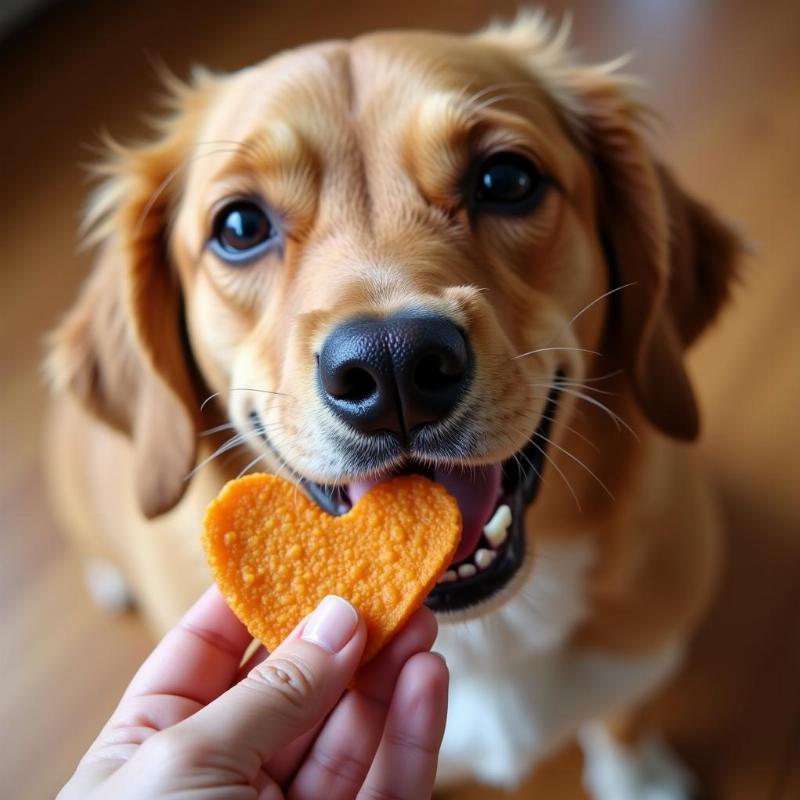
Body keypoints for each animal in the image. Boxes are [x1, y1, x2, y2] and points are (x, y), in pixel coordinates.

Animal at [47, 12, 740, 800]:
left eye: (506, 179)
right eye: (240, 227)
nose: (392, 365)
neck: (484, 639)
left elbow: (621, 714)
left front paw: (638, 776)